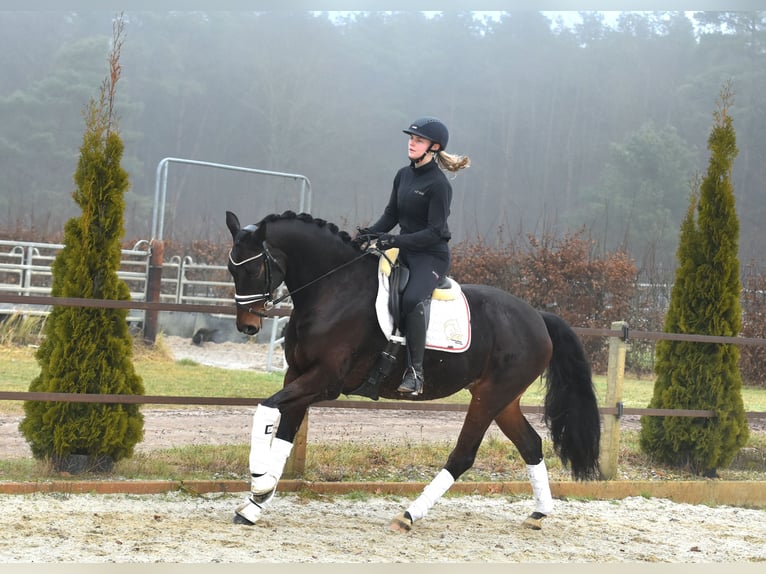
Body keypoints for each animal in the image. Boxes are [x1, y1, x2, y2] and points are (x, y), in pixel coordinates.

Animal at [225, 212, 604, 536]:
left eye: (254, 270)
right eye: (231, 269)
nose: (247, 326)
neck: (334, 289)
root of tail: (538, 317)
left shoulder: (325, 380)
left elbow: (266, 409)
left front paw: (259, 482)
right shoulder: (298, 375)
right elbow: (283, 432)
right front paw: (256, 504)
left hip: (490, 397)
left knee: (463, 455)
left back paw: (408, 515)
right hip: (503, 399)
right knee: (531, 444)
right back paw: (539, 513)